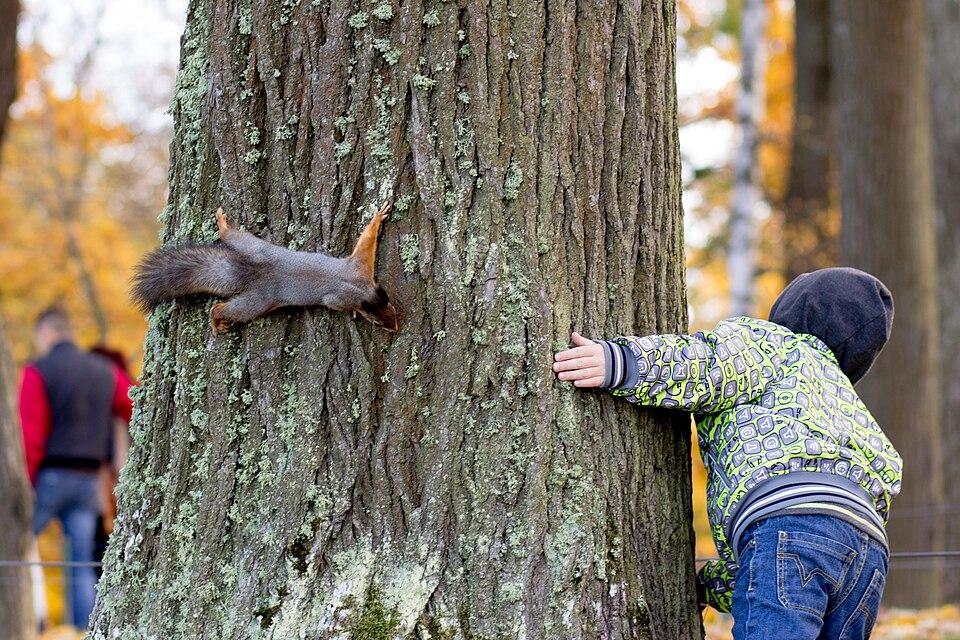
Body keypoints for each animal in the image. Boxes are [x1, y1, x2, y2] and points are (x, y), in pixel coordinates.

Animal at [132, 203, 399, 333]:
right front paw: (354, 313)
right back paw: (216, 319)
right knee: (224, 309)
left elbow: (365, 243)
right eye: (376, 323)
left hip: (254, 246)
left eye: (392, 307)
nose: (395, 328)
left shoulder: (360, 270)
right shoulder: (344, 286)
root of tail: (254, 272)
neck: (359, 288)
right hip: (254, 303)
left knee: (233, 237)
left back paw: (224, 226)